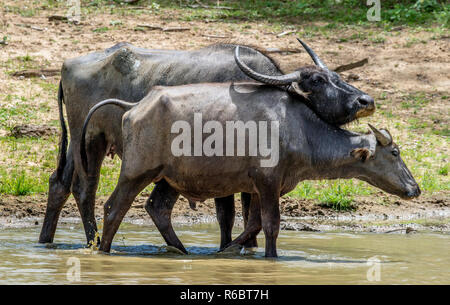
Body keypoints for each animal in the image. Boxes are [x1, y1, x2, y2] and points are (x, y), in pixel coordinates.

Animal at [39, 39, 376, 248]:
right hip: (90, 141)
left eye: (336, 75)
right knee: (86, 188)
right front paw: (231, 247)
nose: (366, 101)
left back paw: (46, 240)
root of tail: (69, 65)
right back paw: (92, 241)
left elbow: (248, 212)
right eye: (317, 81)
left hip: (79, 145)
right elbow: (228, 215)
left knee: (59, 183)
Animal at [81, 66, 422, 254]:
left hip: (169, 178)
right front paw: (269, 257)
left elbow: (254, 224)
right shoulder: (268, 183)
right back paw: (105, 250)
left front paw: (228, 250)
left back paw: (180, 250)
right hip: (136, 172)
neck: (299, 128)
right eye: (395, 153)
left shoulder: (261, 187)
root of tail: (137, 104)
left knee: (158, 209)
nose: (415, 188)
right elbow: (270, 225)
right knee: (113, 208)